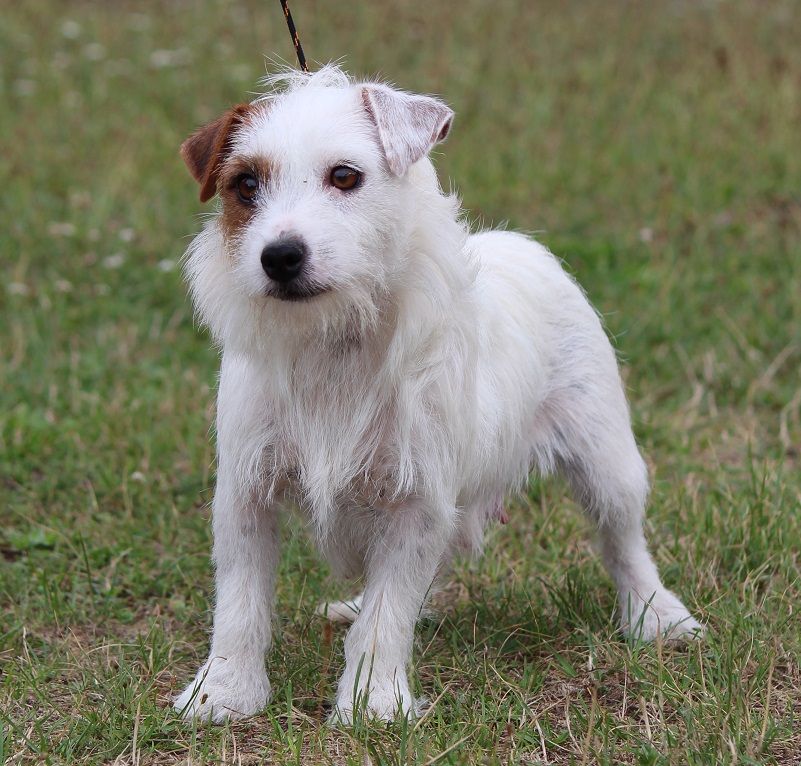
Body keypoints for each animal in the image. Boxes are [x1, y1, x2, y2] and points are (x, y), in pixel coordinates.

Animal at [173, 66, 700, 728]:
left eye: (344, 176)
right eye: (246, 184)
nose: (280, 256)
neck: (333, 344)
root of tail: (519, 243)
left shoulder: (415, 500)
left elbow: (387, 615)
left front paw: (372, 703)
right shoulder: (248, 494)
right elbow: (240, 605)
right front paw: (225, 692)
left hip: (607, 463)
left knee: (623, 541)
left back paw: (658, 615)